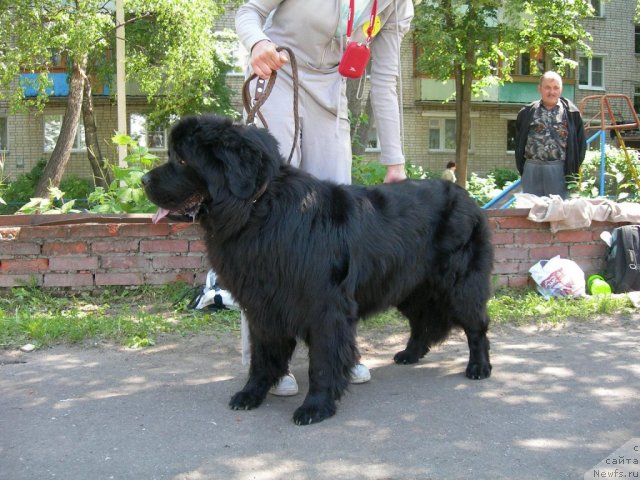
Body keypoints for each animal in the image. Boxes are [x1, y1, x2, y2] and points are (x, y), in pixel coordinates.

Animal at [142, 114, 492, 426]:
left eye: (182, 160)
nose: (143, 180)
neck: (259, 211)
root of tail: (467, 197)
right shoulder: (262, 304)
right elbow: (262, 355)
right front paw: (252, 393)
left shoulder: (325, 307)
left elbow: (322, 361)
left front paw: (316, 407)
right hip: (408, 285)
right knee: (422, 321)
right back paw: (410, 354)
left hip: (459, 284)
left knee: (476, 326)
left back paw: (479, 367)